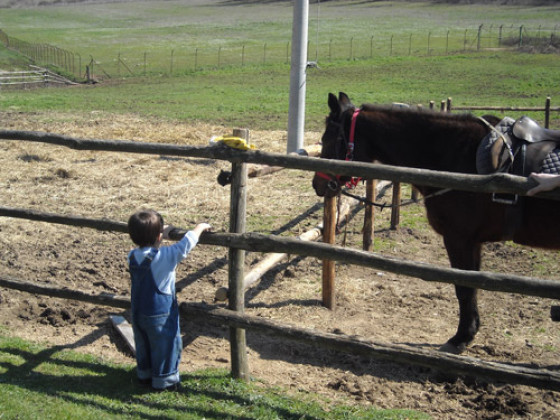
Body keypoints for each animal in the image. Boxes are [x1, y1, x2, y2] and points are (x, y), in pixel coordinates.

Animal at [312, 92, 560, 354]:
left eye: (328, 139)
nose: (317, 184)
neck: (456, 155)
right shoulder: (473, 241)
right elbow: (473, 285)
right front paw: (469, 332)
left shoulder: (458, 239)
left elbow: (464, 288)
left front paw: (460, 338)